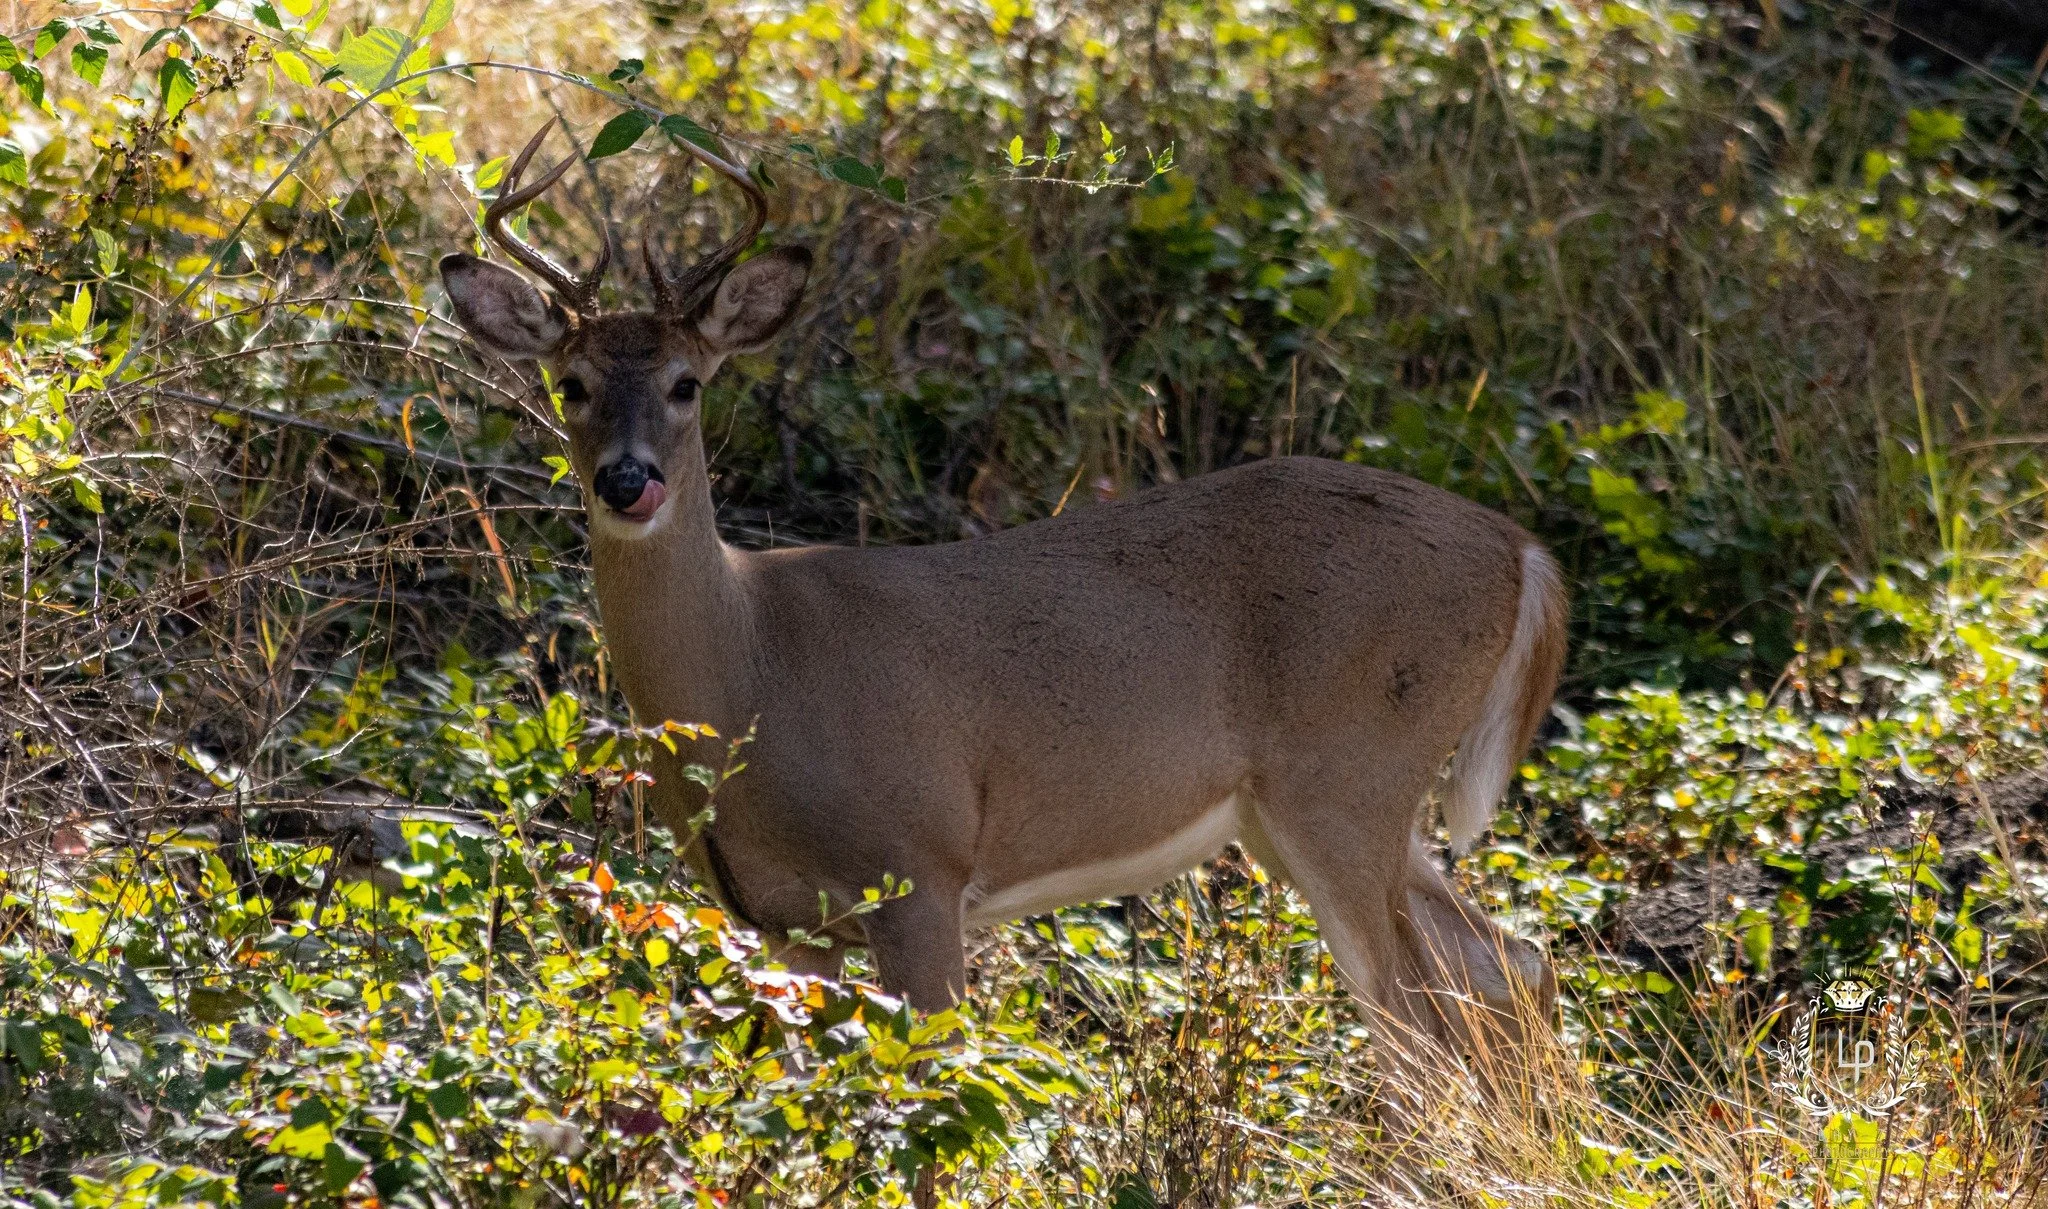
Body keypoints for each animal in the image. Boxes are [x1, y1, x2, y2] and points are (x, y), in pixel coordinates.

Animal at [438, 118, 1568, 1064]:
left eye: (687, 383)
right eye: (570, 385)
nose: (627, 481)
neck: (752, 670)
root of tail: (1521, 552)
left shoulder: (921, 866)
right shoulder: (780, 919)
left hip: (1347, 774)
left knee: (1416, 1017)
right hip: (1315, 809)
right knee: (1507, 962)